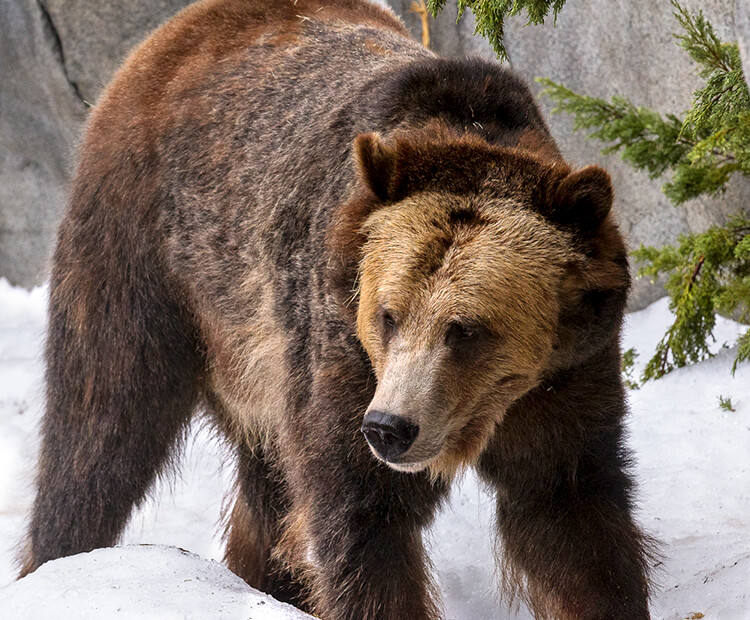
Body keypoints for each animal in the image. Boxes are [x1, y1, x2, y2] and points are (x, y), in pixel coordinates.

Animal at [17, 0, 652, 616]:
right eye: (387, 315)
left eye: (466, 329)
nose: (390, 427)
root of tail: (180, 31)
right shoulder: (340, 343)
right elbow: (359, 517)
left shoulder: (566, 375)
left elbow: (572, 519)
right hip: (148, 253)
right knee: (101, 423)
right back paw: (60, 560)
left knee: (264, 486)